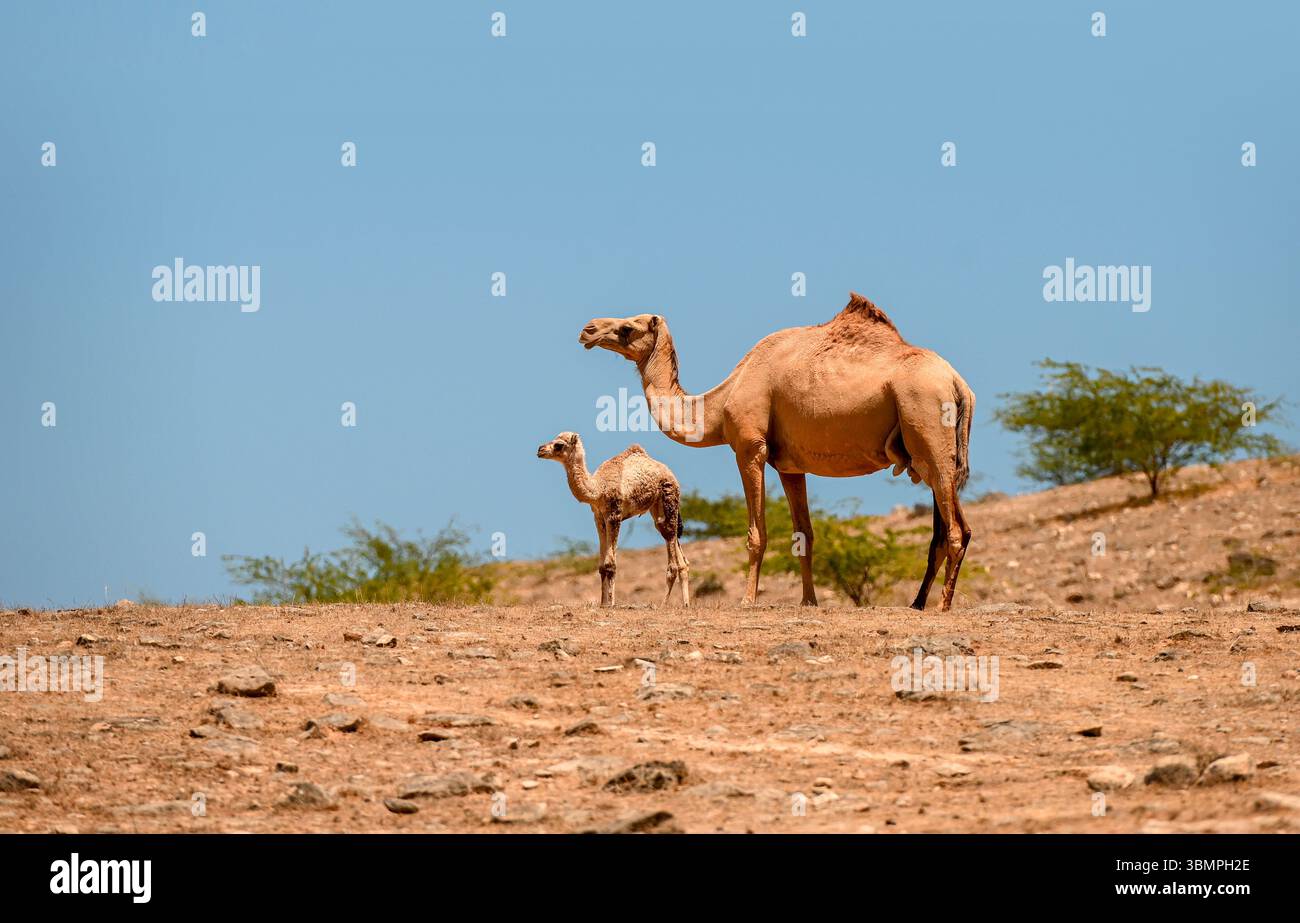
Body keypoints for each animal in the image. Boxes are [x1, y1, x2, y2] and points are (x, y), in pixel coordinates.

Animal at [537, 432, 690, 608]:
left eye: (559, 445)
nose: (540, 450)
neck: (598, 488)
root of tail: (671, 475)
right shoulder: (598, 516)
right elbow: (602, 566)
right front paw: (603, 603)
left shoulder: (614, 514)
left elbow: (610, 564)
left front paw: (609, 603)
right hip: (657, 509)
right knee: (676, 549)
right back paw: (686, 604)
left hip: (669, 498)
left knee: (672, 552)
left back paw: (662, 604)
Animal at [579, 292, 975, 611]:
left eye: (628, 327)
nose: (587, 329)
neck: (722, 401)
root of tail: (959, 385)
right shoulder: (790, 465)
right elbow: (805, 535)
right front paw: (809, 601)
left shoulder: (749, 448)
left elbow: (757, 533)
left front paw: (747, 600)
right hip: (930, 455)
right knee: (947, 529)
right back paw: (918, 602)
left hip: (928, 426)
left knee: (956, 529)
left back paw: (942, 605)